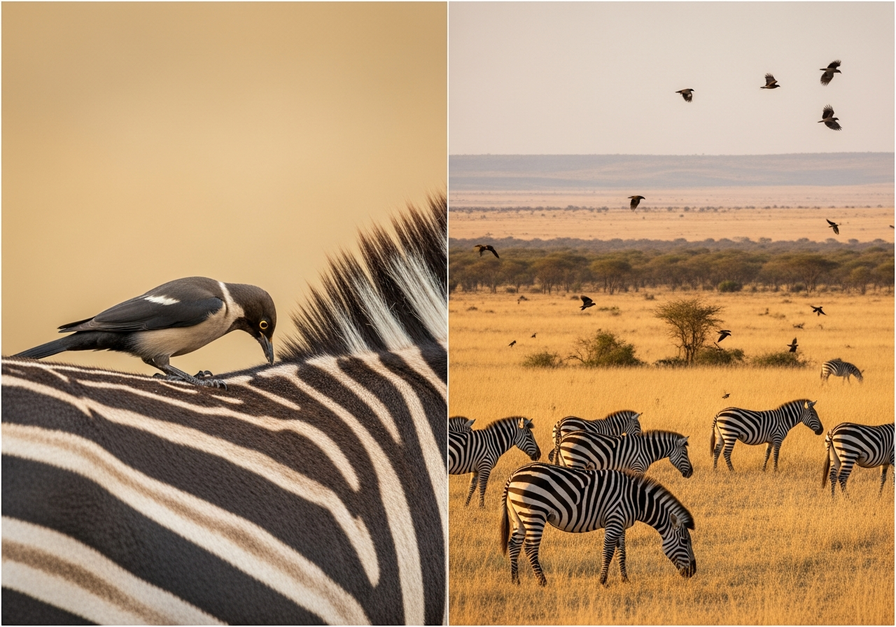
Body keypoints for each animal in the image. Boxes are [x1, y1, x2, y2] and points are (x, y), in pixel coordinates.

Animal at [500, 463, 696, 586]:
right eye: (685, 542)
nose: (693, 572)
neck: (636, 500)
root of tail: (513, 476)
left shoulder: (621, 524)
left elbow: (622, 552)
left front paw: (625, 580)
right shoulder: (614, 520)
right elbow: (608, 551)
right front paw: (602, 581)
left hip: (519, 516)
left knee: (514, 545)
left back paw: (515, 580)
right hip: (534, 513)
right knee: (530, 548)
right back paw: (542, 582)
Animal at [557, 430, 693, 478]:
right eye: (685, 453)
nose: (691, 473)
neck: (647, 449)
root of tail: (564, 438)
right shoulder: (638, 468)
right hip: (577, 461)